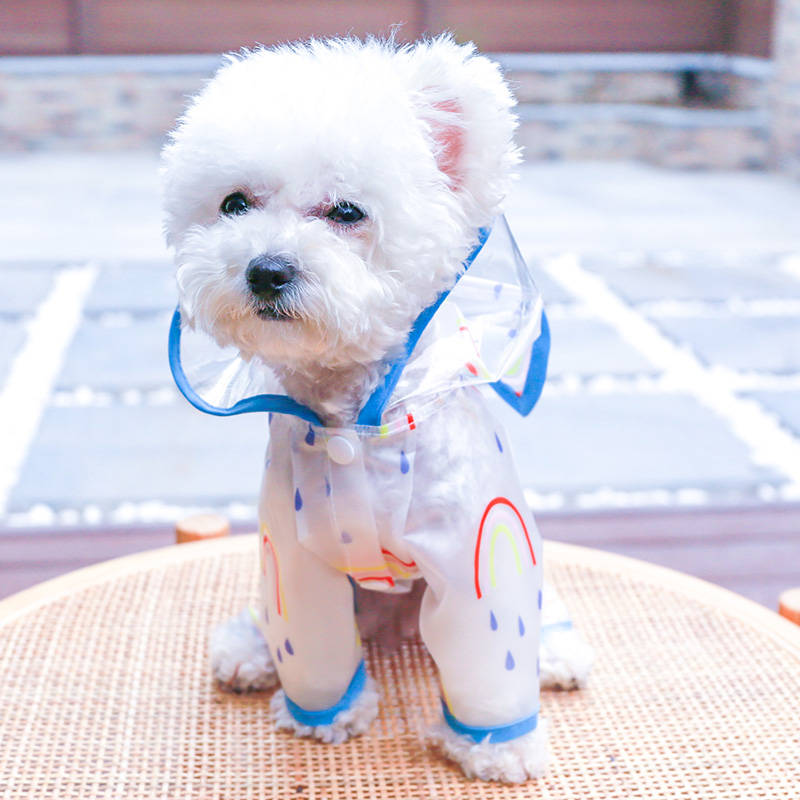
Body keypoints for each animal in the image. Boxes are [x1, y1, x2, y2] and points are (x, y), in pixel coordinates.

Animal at [162, 36, 592, 780]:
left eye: (346, 212)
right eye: (235, 203)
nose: (266, 270)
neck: (354, 421)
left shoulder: (475, 552)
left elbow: (491, 652)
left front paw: (498, 747)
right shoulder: (294, 556)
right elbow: (310, 642)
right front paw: (324, 719)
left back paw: (557, 651)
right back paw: (248, 649)